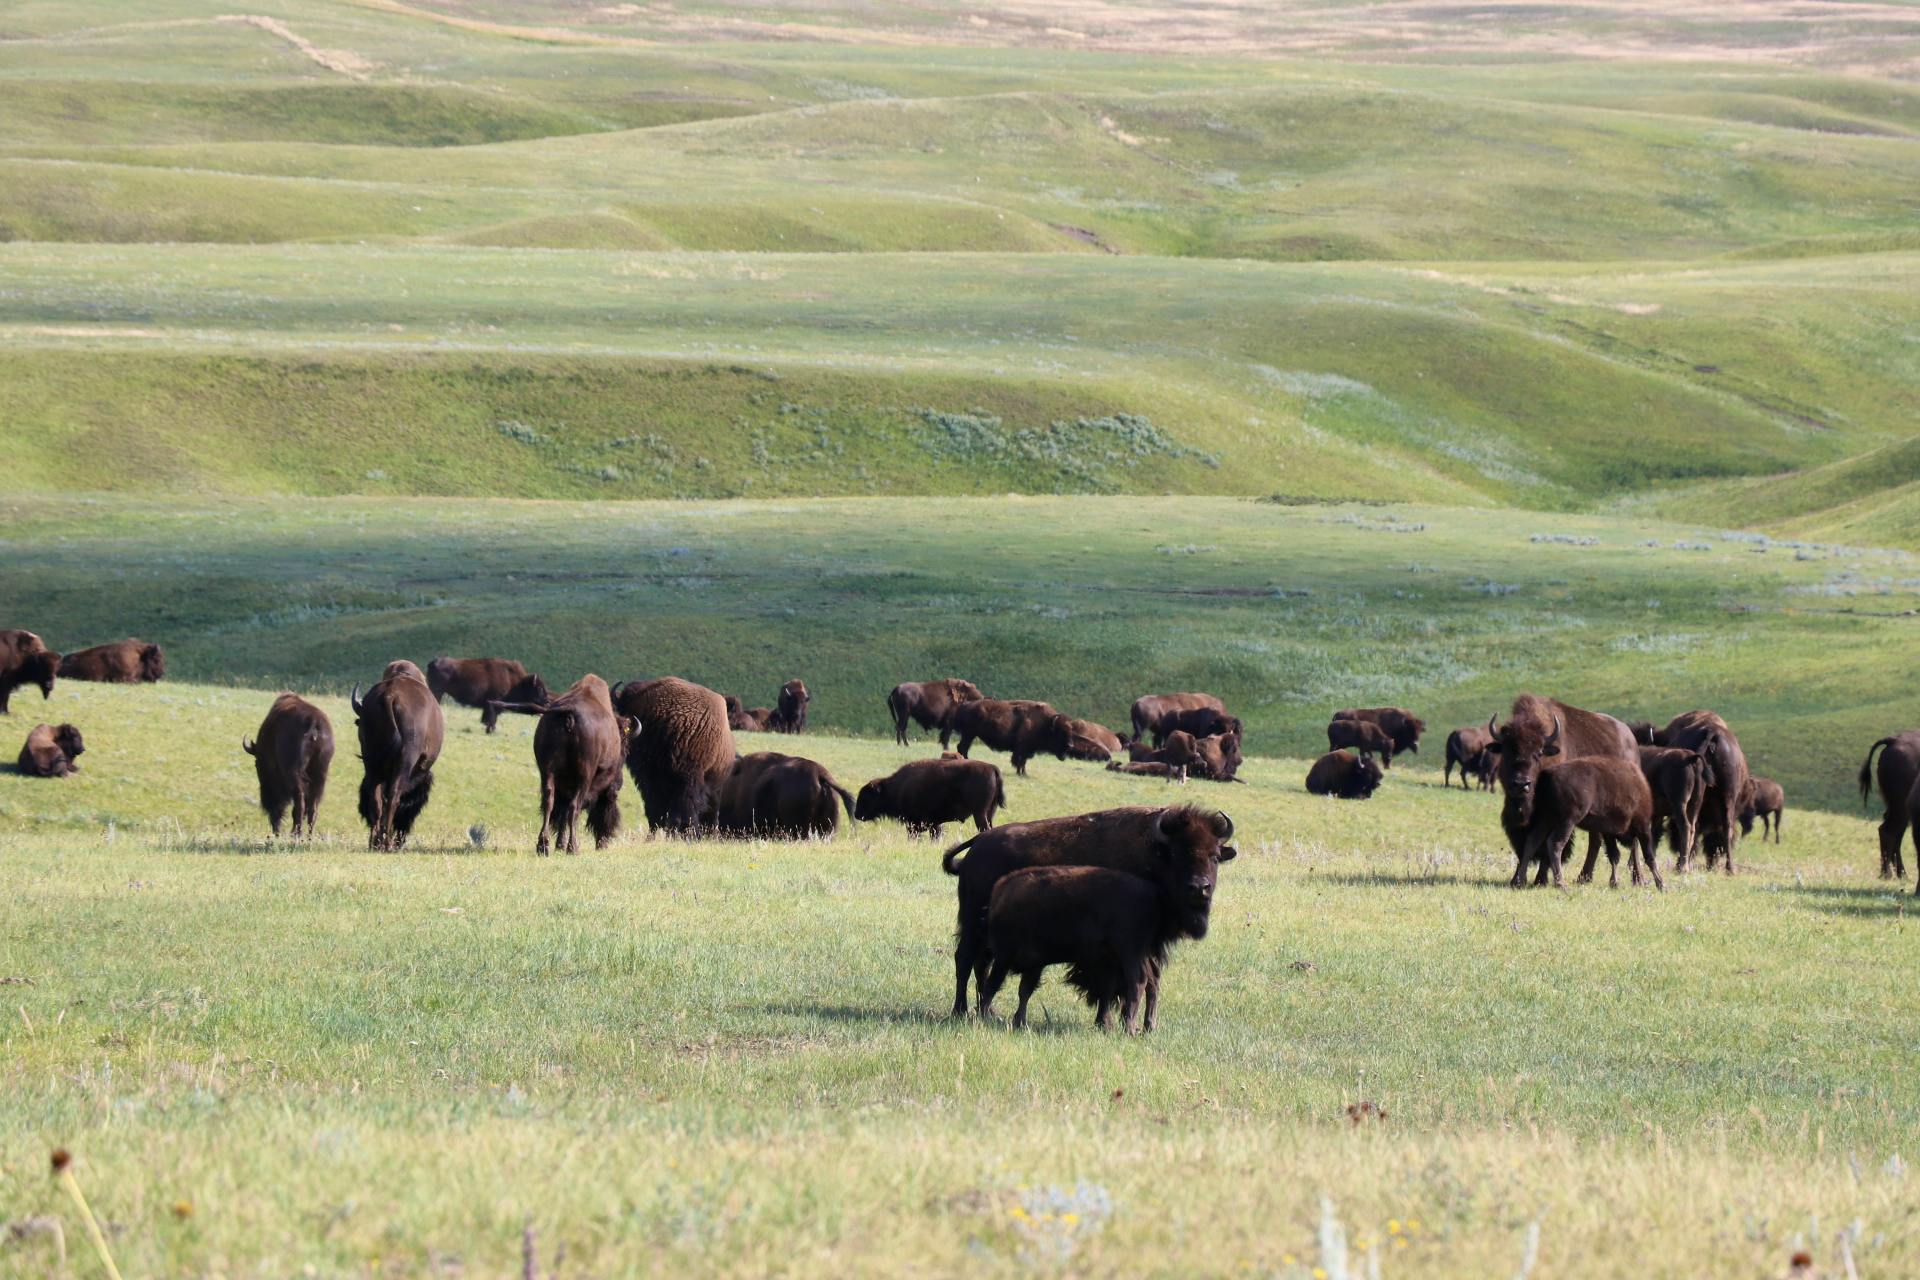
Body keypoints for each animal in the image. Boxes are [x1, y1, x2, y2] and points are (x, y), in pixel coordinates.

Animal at [243, 693, 334, 837]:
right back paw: (308, 836)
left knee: (299, 803)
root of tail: (313, 723)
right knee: (313, 807)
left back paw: (295, 833)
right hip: (320, 775)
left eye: (257, 765)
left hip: (295, 774)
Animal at [352, 660, 444, 851]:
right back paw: (387, 845)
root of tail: (390, 696)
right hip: (405, 759)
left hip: (371, 762)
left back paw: (375, 843)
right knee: (393, 796)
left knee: (376, 798)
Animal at [854, 755, 1005, 837]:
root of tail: (991, 768)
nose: (857, 814)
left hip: (979, 814)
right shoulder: (934, 823)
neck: (895, 787)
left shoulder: (913, 823)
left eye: (866, 796)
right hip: (989, 813)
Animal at [940, 805, 1236, 1018]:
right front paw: (1106, 1022)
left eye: (1215, 856)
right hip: (972, 924)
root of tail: (979, 843)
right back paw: (960, 1011)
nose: (1199, 888)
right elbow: (1109, 985)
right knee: (964, 960)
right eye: (1176, 854)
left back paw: (988, 1011)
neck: (1153, 854)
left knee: (981, 964)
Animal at [1858, 732, 1920, 879]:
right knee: (1889, 831)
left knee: (1892, 833)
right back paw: (1890, 874)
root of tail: (1894, 740)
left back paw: (1898, 874)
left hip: (1897, 809)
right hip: (1901, 808)